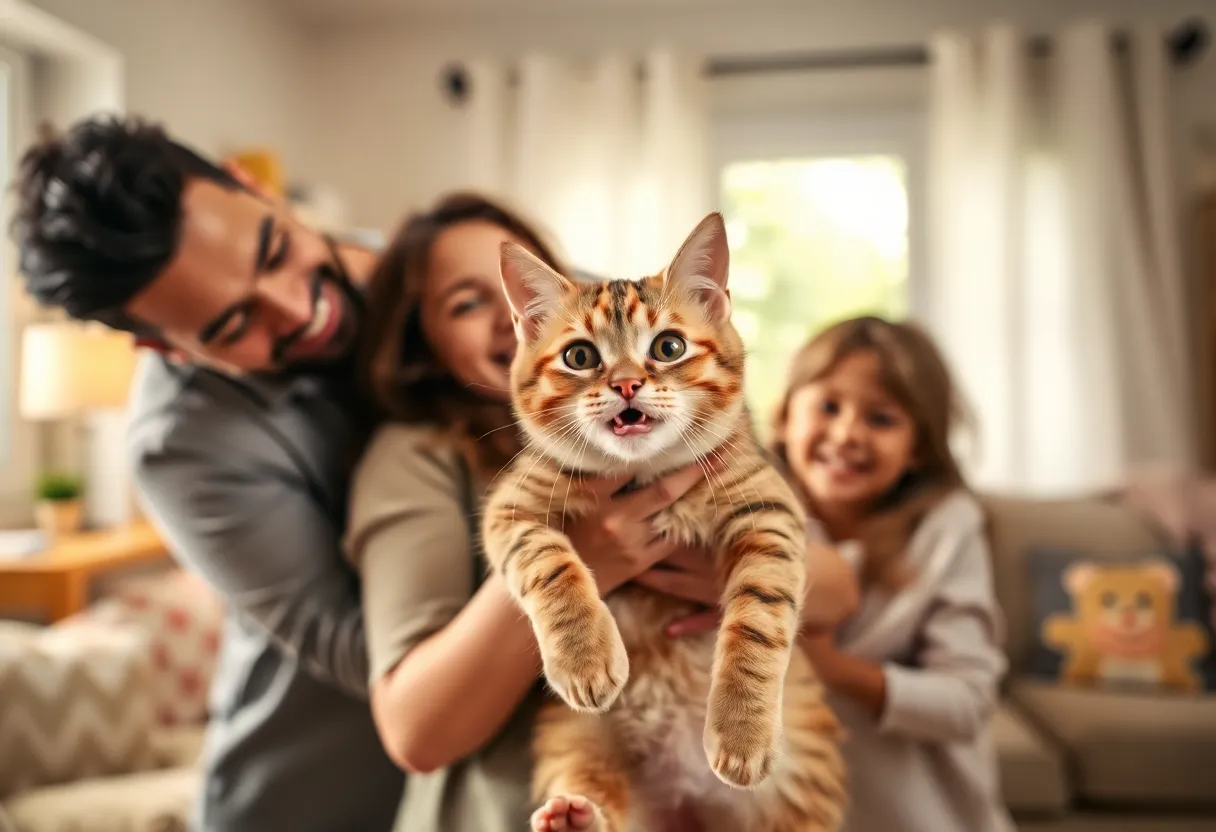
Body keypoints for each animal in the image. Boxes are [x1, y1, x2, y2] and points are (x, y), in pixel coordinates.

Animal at [481, 214, 846, 832]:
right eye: (580, 357)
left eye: (668, 347)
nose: (627, 384)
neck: (640, 473)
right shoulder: (512, 509)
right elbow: (549, 563)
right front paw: (583, 653)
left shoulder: (769, 512)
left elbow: (757, 621)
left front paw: (742, 728)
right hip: (573, 734)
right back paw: (573, 816)